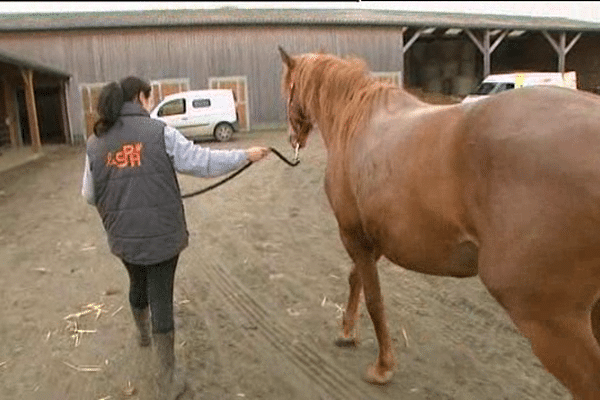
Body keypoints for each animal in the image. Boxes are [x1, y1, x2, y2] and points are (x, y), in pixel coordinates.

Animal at [282, 46, 600, 396]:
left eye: (287, 92)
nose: (292, 137)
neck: (356, 122)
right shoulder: (373, 239)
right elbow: (356, 281)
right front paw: (347, 332)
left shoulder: (354, 236)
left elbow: (375, 300)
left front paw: (383, 367)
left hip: (548, 320)